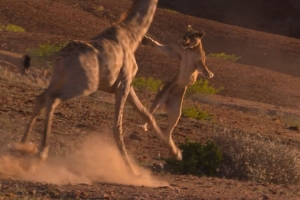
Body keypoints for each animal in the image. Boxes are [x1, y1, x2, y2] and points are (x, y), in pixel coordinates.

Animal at [21, 0, 182, 174]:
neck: (132, 36)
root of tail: (61, 56)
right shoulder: (124, 83)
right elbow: (117, 126)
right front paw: (132, 170)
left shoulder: (125, 84)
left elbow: (147, 115)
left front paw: (177, 153)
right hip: (85, 85)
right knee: (53, 98)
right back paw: (41, 154)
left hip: (58, 78)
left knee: (40, 98)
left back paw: (22, 145)